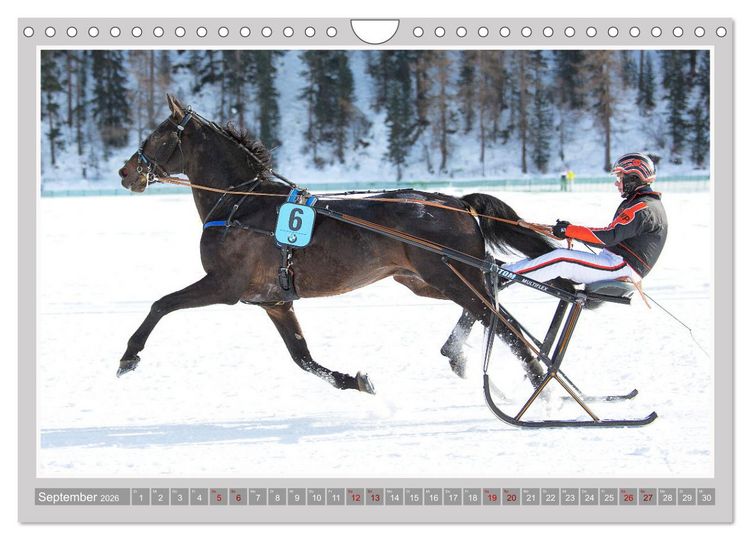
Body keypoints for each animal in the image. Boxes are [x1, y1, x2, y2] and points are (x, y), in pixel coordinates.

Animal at [116, 94, 559, 394]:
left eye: (156, 135)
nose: (125, 171)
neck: (241, 203)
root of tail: (457, 202)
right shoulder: (273, 301)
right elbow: (303, 358)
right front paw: (356, 380)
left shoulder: (224, 285)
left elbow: (162, 304)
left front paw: (129, 356)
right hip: (426, 281)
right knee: (499, 305)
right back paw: (475, 358)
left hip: (451, 277)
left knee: (501, 321)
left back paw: (538, 382)